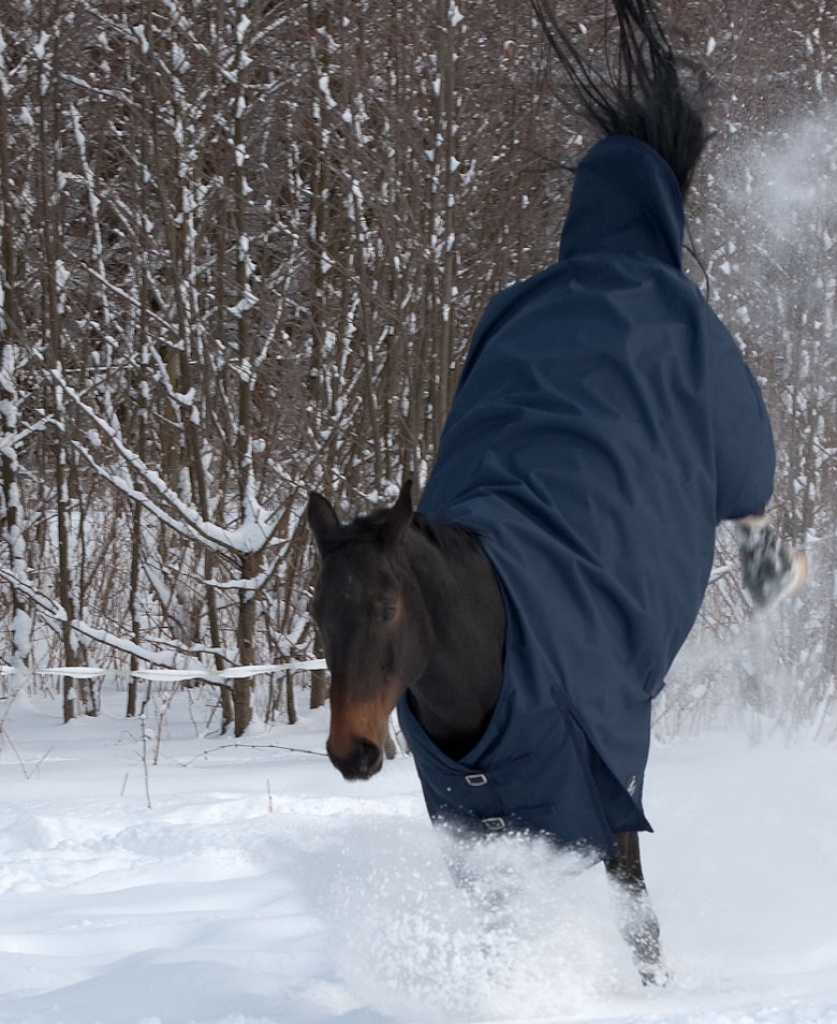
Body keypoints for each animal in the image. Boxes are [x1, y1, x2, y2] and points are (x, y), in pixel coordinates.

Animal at [306, 0, 804, 986]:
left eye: (385, 607)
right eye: (314, 613)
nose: (353, 754)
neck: (495, 663)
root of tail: (608, 257)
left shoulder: (612, 805)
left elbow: (640, 929)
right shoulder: (482, 836)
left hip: (736, 435)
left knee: (753, 503)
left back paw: (775, 574)